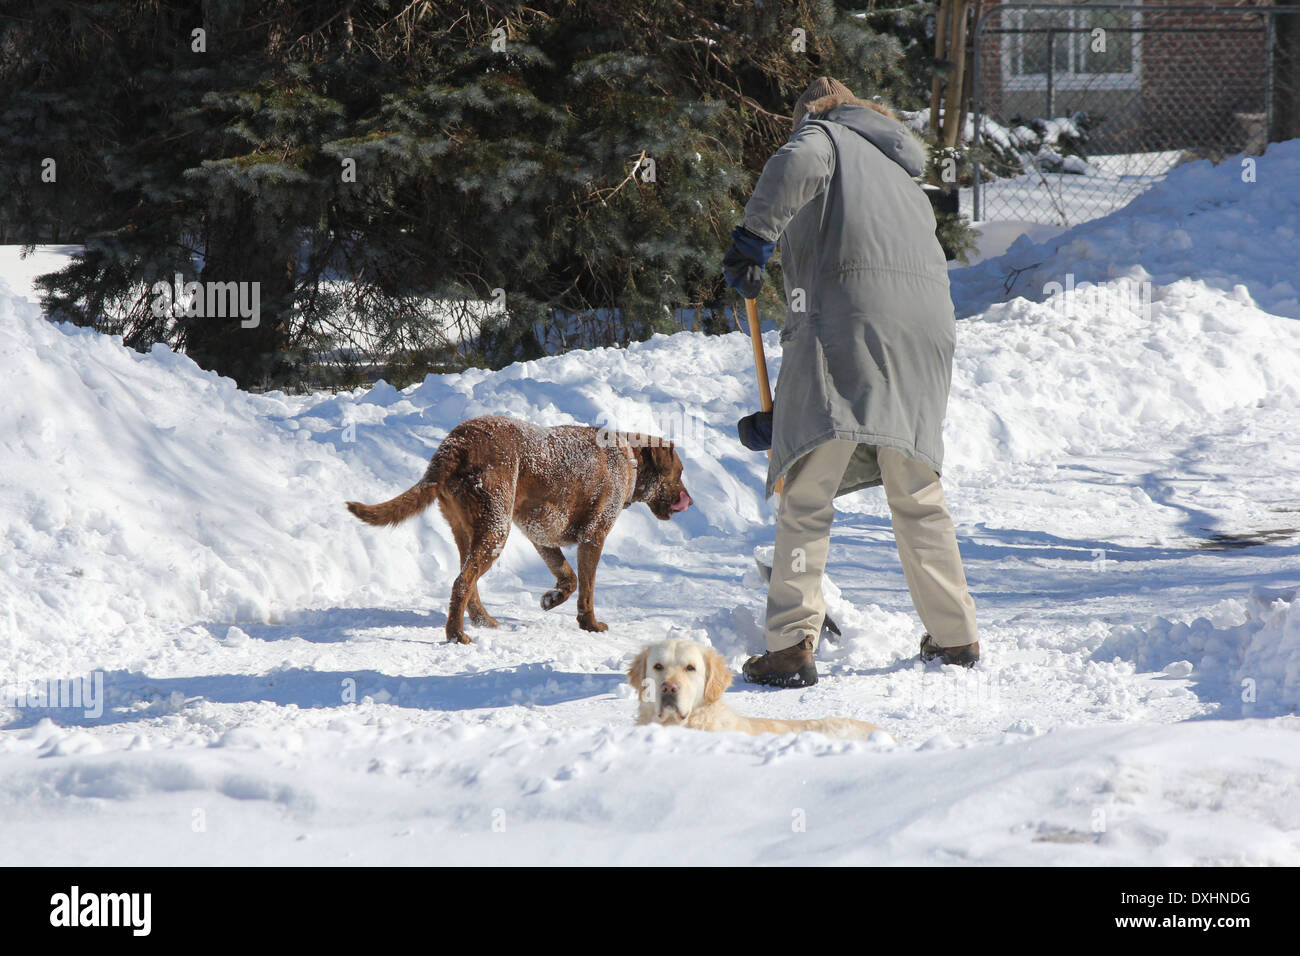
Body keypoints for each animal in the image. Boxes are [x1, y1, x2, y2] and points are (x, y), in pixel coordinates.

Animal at [345, 416, 691, 642]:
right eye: (679, 472)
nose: (689, 500)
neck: (629, 459)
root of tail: (455, 445)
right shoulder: (594, 536)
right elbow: (587, 589)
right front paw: (590, 625)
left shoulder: (540, 535)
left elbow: (569, 578)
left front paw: (552, 598)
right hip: (496, 528)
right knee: (462, 583)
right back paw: (457, 635)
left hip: (468, 529)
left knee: (468, 582)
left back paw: (482, 621)